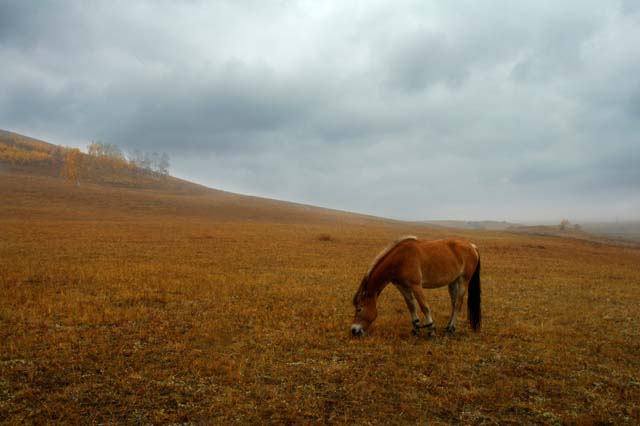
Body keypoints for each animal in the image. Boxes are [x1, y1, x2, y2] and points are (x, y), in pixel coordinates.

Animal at [350, 235, 480, 338]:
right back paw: (448, 327)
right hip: (453, 281)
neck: (401, 258)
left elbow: (424, 307)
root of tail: (472, 246)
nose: (354, 330)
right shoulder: (402, 286)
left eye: (359, 309)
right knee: (454, 303)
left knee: (458, 304)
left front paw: (431, 330)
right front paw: (415, 329)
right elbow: (411, 306)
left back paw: (451, 328)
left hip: (463, 280)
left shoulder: (416, 286)